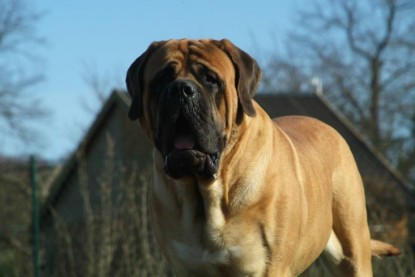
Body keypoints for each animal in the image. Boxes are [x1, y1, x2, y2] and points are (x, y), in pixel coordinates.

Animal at [127, 38, 404, 276]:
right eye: (162, 79)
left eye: (210, 79)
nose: (181, 90)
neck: (209, 194)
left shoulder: (270, 267)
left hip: (353, 248)